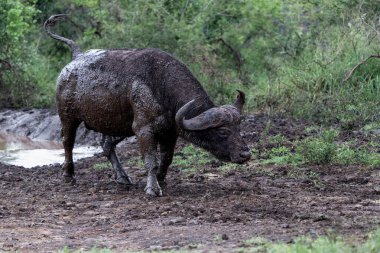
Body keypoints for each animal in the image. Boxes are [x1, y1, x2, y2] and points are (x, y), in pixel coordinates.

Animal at [43, 14, 249, 197]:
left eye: (239, 128)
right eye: (223, 132)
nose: (246, 154)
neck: (161, 87)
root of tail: (76, 57)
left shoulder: (170, 133)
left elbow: (167, 159)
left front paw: (161, 180)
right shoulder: (144, 130)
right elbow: (151, 160)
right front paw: (153, 188)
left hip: (117, 125)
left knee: (107, 144)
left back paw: (122, 177)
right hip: (68, 117)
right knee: (68, 142)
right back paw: (69, 175)